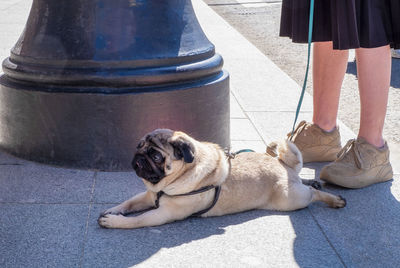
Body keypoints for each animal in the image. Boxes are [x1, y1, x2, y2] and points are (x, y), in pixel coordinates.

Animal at [98, 129, 346, 229]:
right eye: (139, 146)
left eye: (156, 156)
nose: (138, 158)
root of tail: (284, 166)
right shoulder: (148, 196)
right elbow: (129, 203)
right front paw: (114, 210)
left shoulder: (163, 214)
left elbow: (138, 220)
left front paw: (115, 222)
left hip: (290, 200)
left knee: (312, 194)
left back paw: (334, 199)